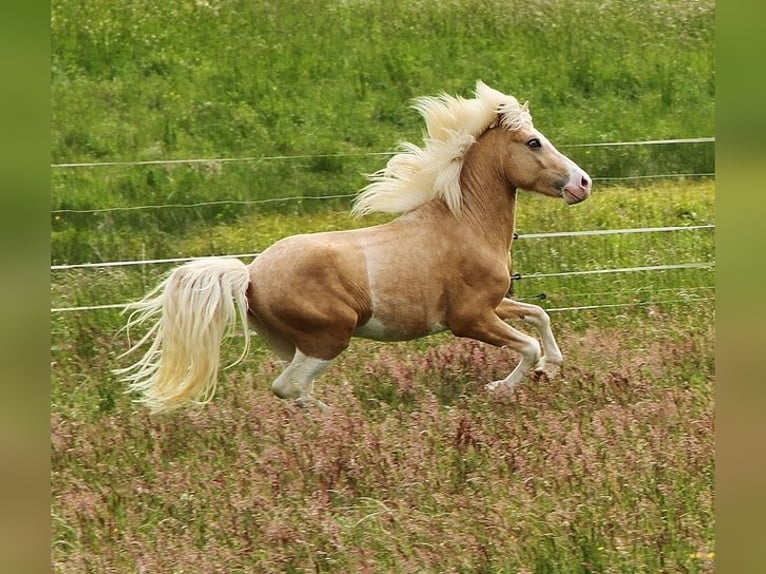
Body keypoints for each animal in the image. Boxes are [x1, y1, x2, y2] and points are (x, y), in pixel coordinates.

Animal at [116, 81, 592, 413]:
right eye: (534, 142)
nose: (582, 183)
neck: (465, 225)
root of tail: (249, 274)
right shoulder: (469, 318)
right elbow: (526, 345)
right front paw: (501, 388)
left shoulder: (495, 304)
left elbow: (540, 316)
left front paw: (551, 367)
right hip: (328, 337)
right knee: (288, 386)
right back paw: (338, 419)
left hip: (296, 344)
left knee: (293, 387)